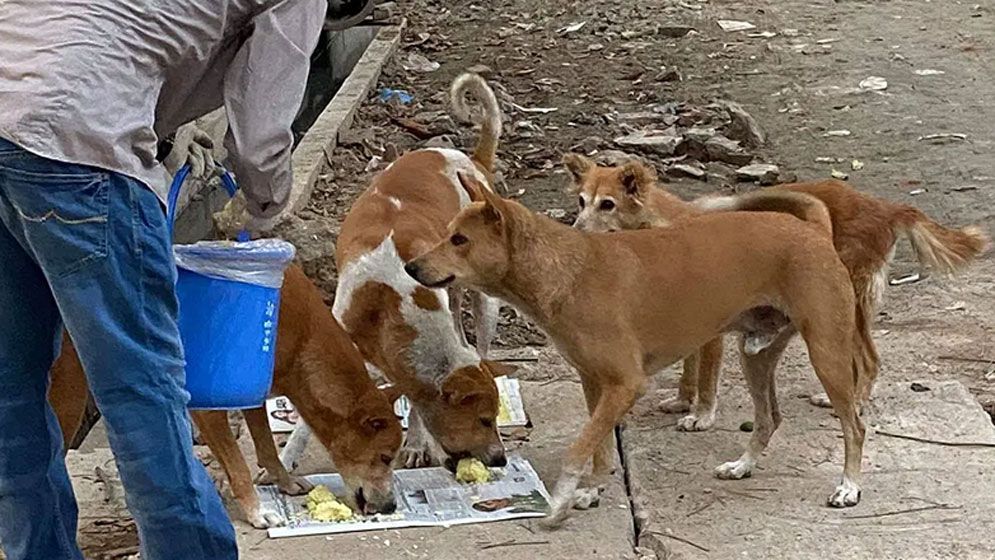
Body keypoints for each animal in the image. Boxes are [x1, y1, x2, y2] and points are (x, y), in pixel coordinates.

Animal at [48, 264, 402, 528]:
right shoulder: (208, 408)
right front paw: (257, 512)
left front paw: (285, 483)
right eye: (385, 457)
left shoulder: (256, 395)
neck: (302, 337)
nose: (390, 507)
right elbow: (238, 466)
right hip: (68, 400)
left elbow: (267, 447)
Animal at [318, 72, 512, 470]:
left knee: (481, 345)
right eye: (483, 421)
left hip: (485, 304)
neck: (386, 297)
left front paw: (419, 444)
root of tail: (472, 159)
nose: (500, 460)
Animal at [402, 172, 872, 524]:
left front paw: (560, 500)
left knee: (854, 426)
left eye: (460, 240)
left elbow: (579, 449)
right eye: (448, 234)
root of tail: (812, 229)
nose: (410, 266)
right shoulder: (595, 385)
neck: (566, 271)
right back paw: (743, 466)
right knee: (769, 418)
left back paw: (848, 487)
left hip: (827, 353)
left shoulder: (626, 385)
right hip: (755, 354)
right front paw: (593, 490)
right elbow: (600, 447)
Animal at [564, 155, 992, 430]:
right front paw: (683, 401)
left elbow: (706, 376)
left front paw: (701, 415)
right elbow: (688, 368)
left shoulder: (711, 329)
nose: (574, 231)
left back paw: (854, 402)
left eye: (607, 205)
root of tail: (885, 206)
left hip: (844, 304)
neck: (659, 225)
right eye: (581, 201)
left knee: (870, 360)